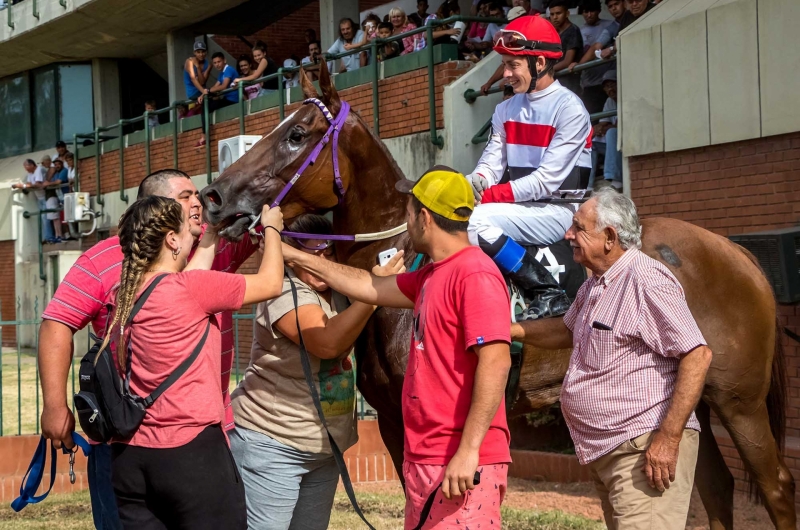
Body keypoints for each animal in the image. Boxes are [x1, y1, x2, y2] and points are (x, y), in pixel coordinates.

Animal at [200, 64, 792, 524]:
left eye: (297, 134)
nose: (214, 196)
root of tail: (736, 253)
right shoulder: (392, 420)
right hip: (694, 402)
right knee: (714, 487)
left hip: (739, 402)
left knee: (777, 487)